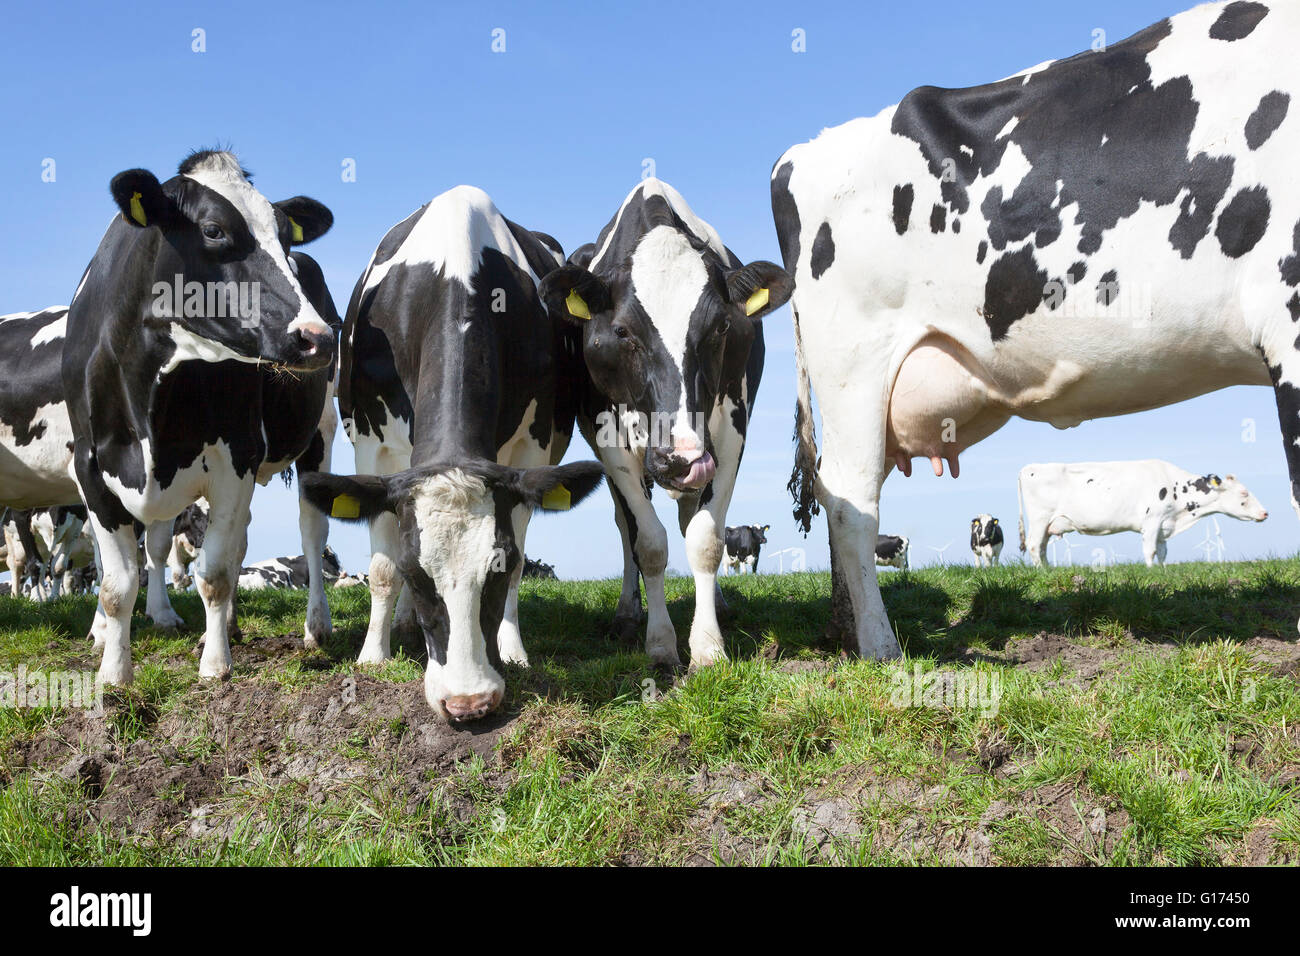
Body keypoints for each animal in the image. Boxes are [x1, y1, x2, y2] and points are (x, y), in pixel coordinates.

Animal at [63, 150, 338, 686]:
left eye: (285, 238)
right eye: (213, 230)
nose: (317, 336)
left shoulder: (237, 452)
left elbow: (212, 573)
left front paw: (215, 665)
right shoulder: (90, 463)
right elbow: (117, 584)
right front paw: (114, 674)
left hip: (321, 432)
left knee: (311, 533)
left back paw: (315, 627)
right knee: (240, 539)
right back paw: (226, 626)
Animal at [305, 185, 605, 721]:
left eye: (496, 569)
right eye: (418, 574)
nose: (468, 702)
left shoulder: (529, 453)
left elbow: (522, 562)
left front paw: (513, 650)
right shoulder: (374, 447)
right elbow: (382, 567)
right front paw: (373, 655)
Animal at [538, 178, 792, 668]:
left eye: (721, 328)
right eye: (622, 332)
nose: (681, 458)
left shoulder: (730, 433)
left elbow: (706, 539)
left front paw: (708, 646)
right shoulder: (609, 439)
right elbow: (650, 543)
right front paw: (659, 644)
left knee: (690, 516)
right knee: (627, 527)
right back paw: (627, 614)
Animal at [1018, 460, 1267, 566]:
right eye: (1244, 493)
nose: (1265, 513)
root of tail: (1028, 468)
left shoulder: (1163, 524)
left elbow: (1163, 552)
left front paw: (1163, 571)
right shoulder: (1151, 521)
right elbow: (1149, 551)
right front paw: (1150, 571)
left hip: (1048, 524)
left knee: (1041, 548)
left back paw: (1048, 569)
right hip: (1039, 519)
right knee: (1034, 545)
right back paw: (1042, 571)